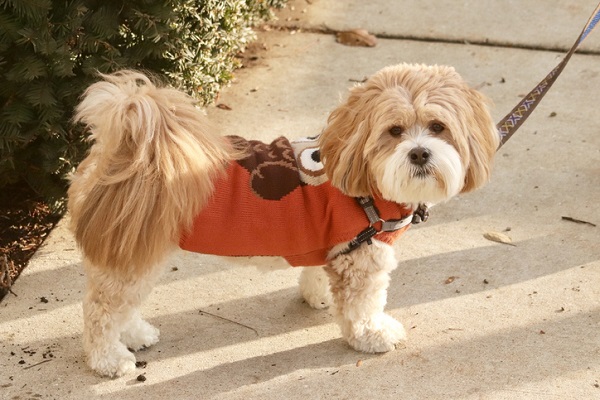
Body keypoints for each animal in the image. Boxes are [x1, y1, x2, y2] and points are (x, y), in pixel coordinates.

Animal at [68, 64, 500, 376]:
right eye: (394, 131)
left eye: (438, 127)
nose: (420, 153)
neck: (360, 178)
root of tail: (116, 155)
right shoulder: (362, 256)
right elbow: (363, 306)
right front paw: (372, 335)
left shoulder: (331, 244)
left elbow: (316, 271)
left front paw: (317, 295)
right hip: (131, 256)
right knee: (100, 310)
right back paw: (109, 360)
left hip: (135, 250)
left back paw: (134, 334)